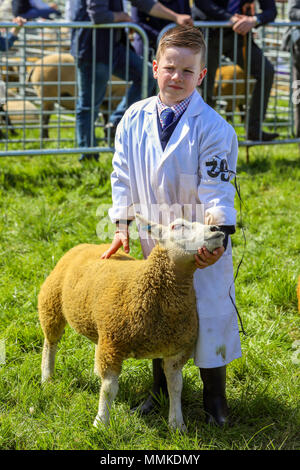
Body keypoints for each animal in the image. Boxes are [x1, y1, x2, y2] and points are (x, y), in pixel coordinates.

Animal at [38, 215, 225, 432]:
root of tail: (84, 245)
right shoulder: (113, 345)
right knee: (50, 343)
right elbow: (109, 389)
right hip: (51, 303)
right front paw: (101, 423)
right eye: (177, 226)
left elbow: (176, 386)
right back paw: (47, 378)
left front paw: (177, 424)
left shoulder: (176, 350)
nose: (216, 229)